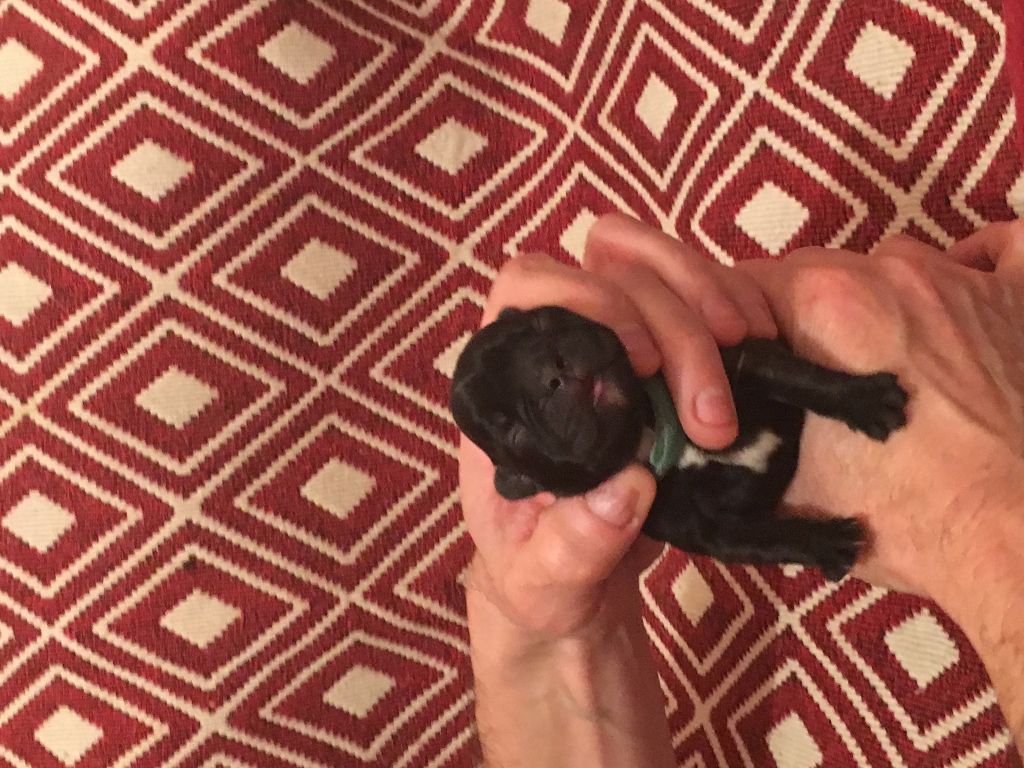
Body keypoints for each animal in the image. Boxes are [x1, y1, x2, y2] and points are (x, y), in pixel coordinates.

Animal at [450, 305, 909, 581]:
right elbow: (768, 538)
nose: (551, 372)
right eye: (512, 430)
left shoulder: (732, 368)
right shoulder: (708, 529)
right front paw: (827, 543)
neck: (653, 433)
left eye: (543, 322)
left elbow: (798, 377)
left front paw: (863, 399)